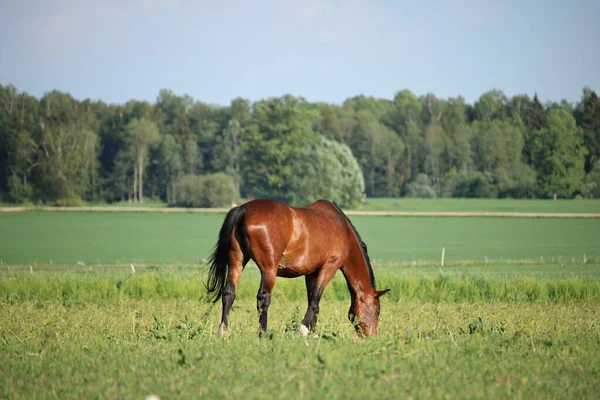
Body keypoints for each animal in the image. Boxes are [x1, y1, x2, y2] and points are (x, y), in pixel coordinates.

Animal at [206, 198, 392, 336]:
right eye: (377, 311)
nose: (372, 337)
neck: (342, 229)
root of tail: (243, 210)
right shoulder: (329, 268)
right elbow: (315, 300)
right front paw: (303, 331)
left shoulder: (311, 273)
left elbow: (313, 301)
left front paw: (314, 333)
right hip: (269, 269)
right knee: (263, 298)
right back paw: (263, 334)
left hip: (237, 261)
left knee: (229, 293)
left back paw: (223, 332)